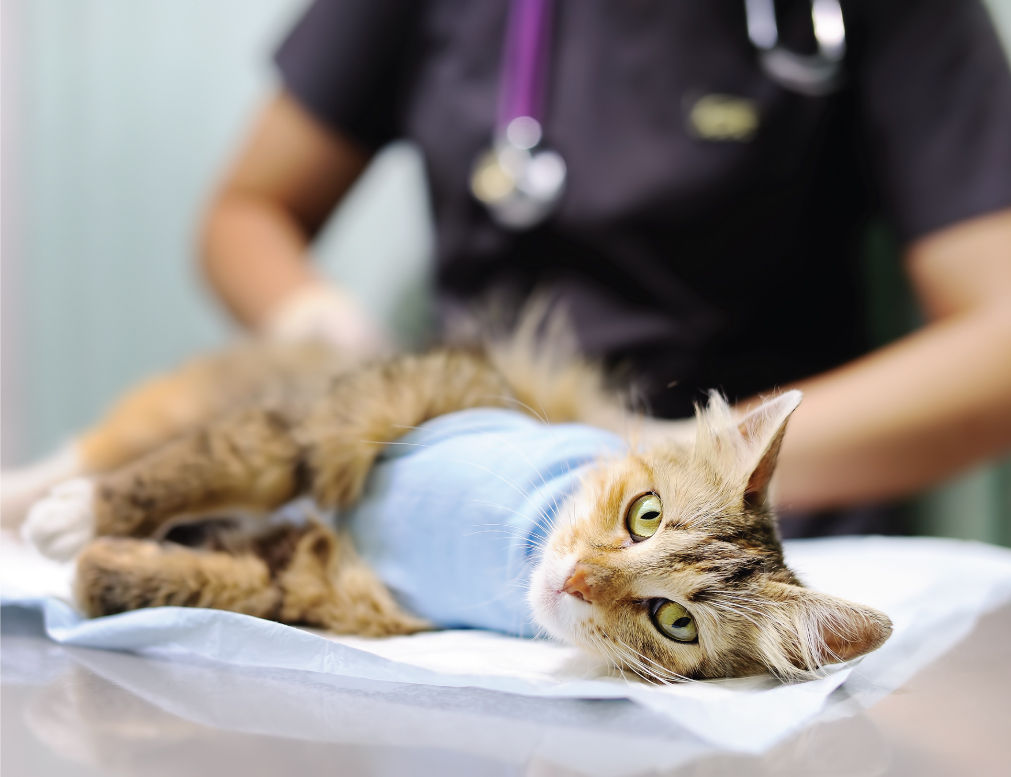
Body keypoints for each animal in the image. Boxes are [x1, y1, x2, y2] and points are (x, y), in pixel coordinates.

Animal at [9, 331, 893, 683]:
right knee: (95, 447)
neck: (511, 538)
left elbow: (204, 580)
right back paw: (31, 497)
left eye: (674, 620)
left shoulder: (331, 586)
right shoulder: (339, 423)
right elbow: (197, 469)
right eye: (644, 514)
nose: (575, 580)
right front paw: (79, 520)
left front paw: (98, 566)